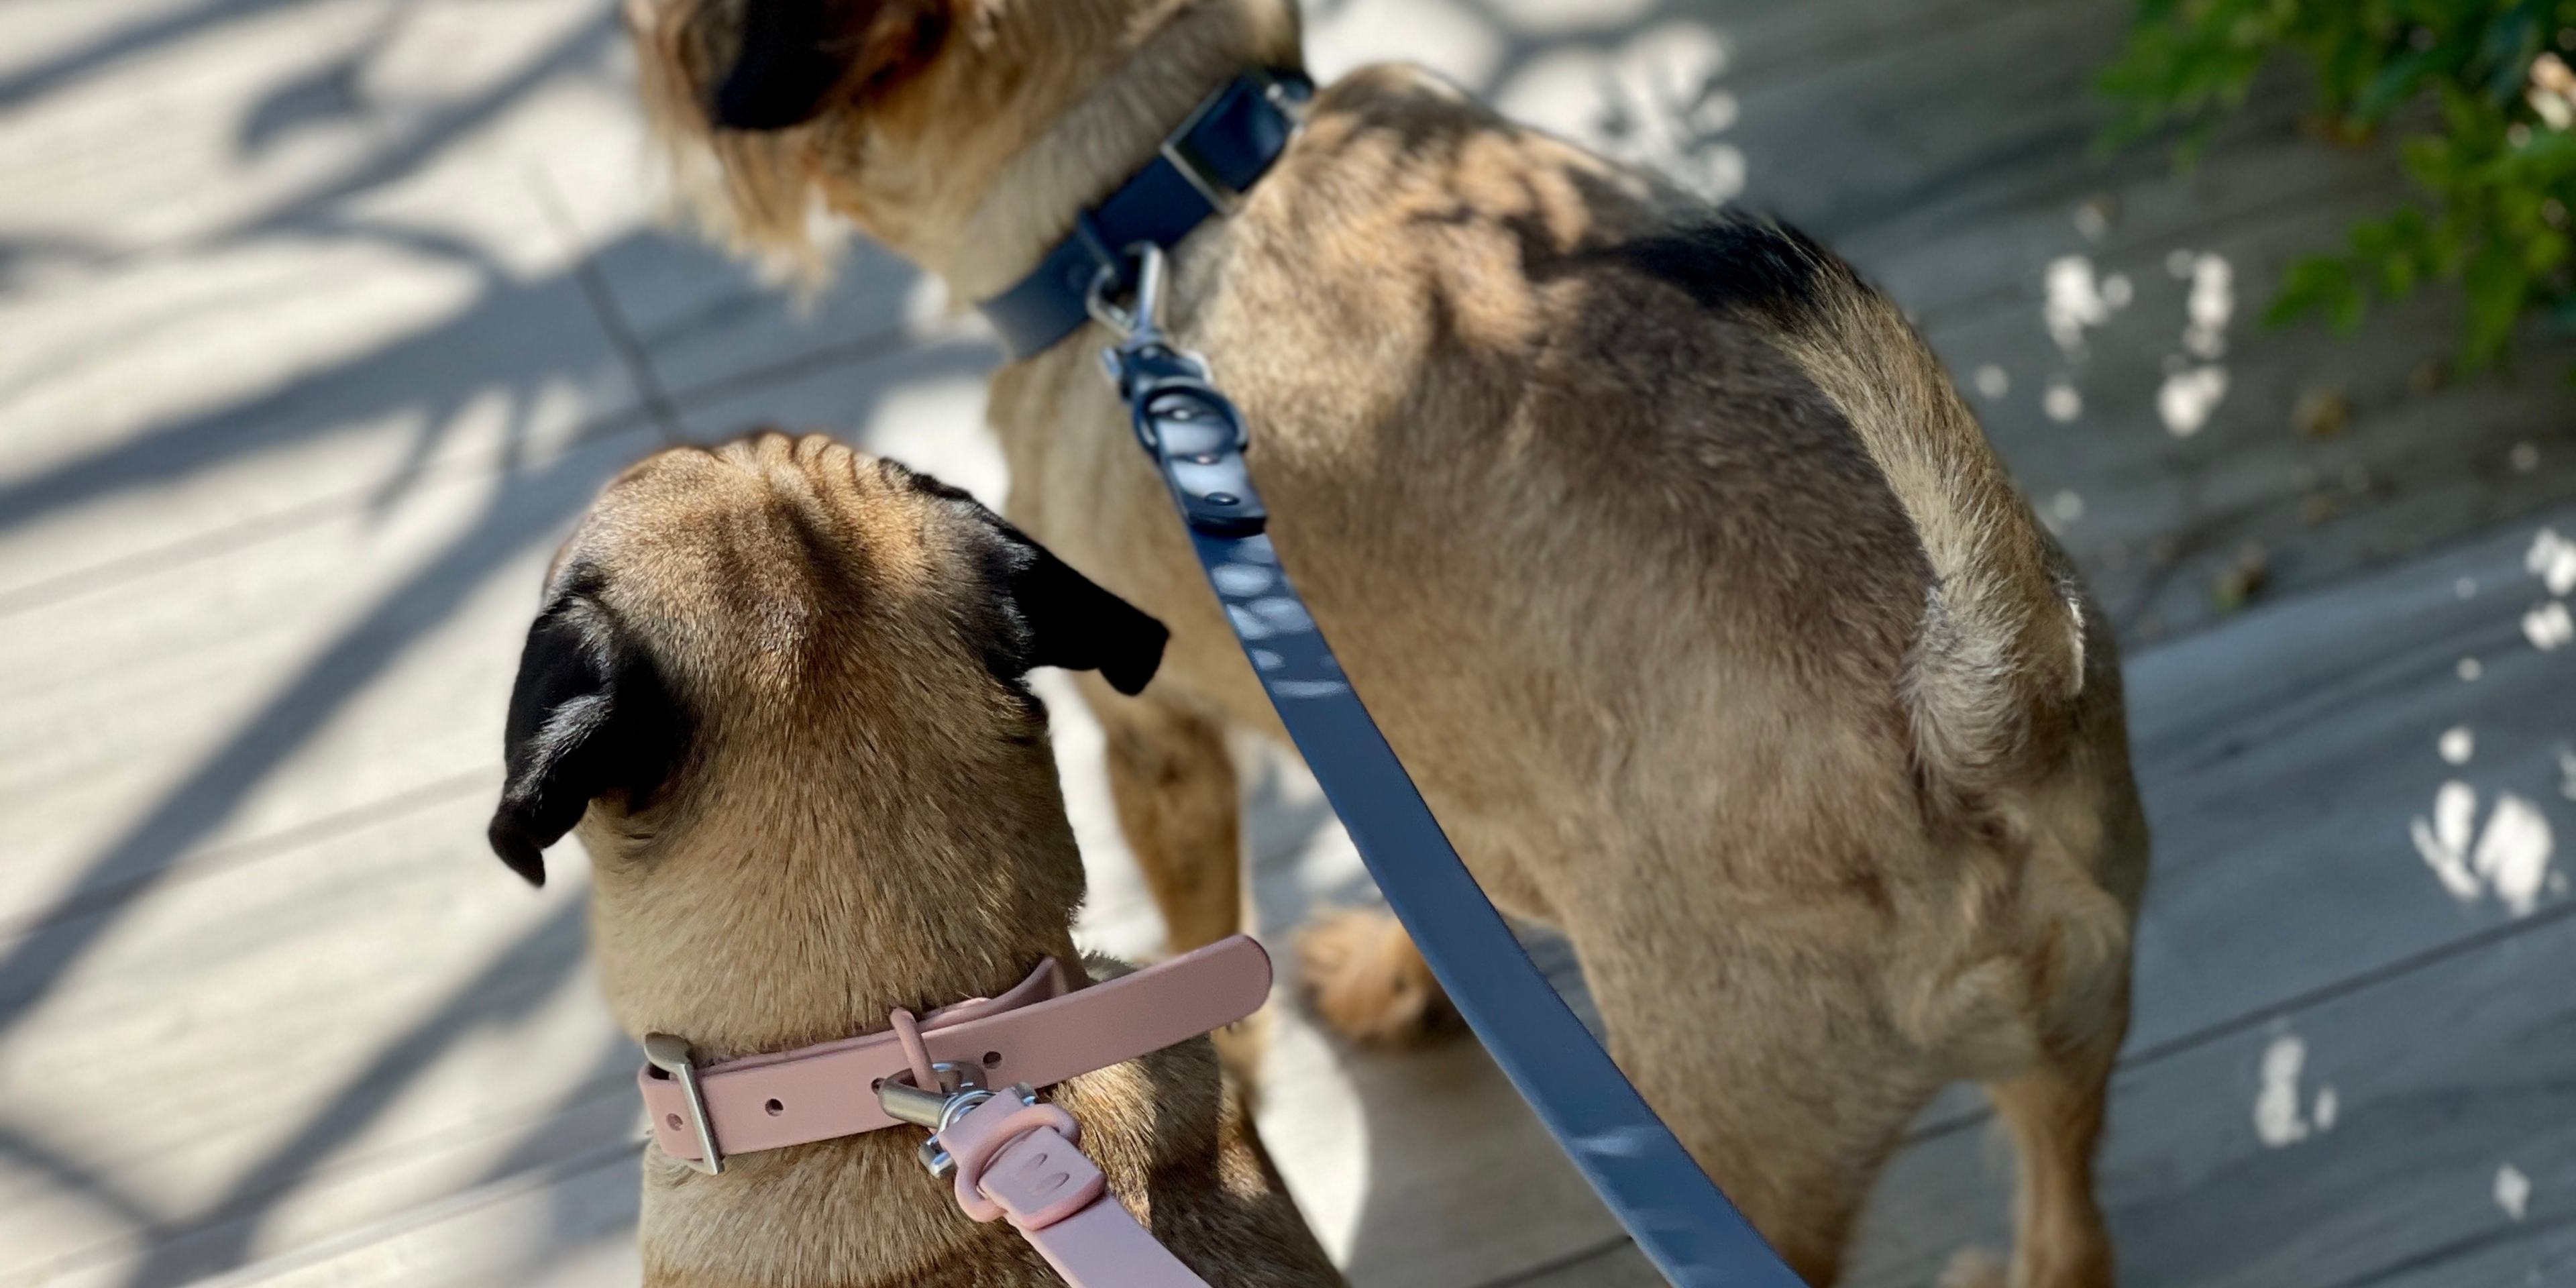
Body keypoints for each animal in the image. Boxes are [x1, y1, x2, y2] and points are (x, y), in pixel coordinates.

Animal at [623, 5, 2153, 1283]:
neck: (1171, 177)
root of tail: (1973, 716)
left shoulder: (1155, 746)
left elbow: (1201, 920)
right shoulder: (1429, 770)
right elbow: (1447, 900)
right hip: (2068, 1058)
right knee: (2072, 1235)